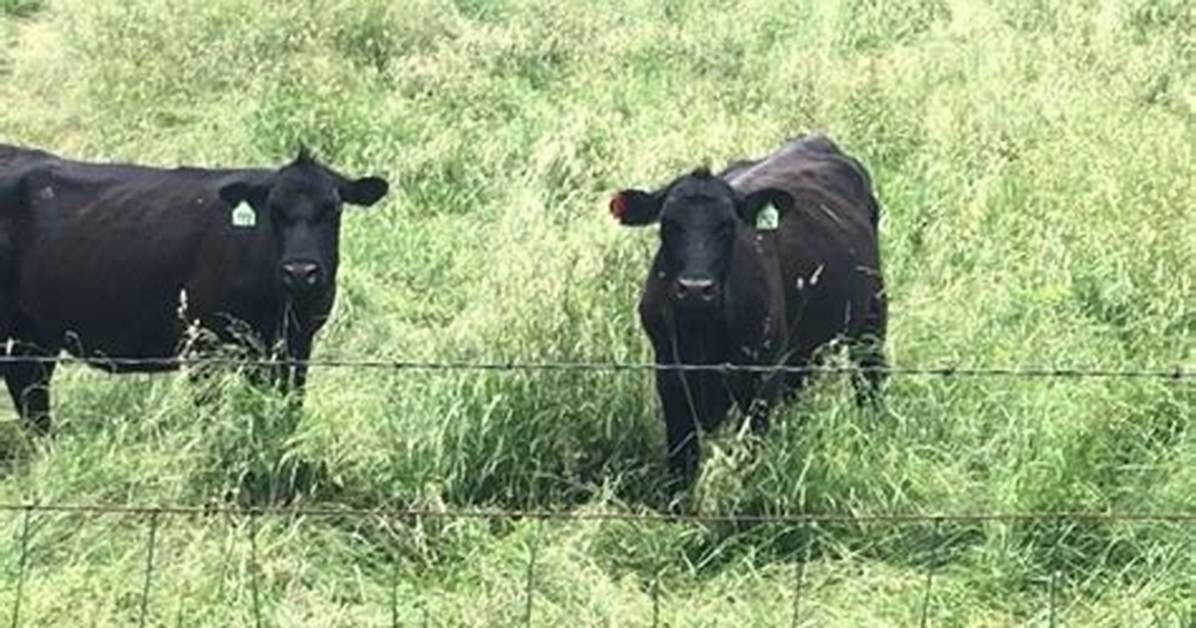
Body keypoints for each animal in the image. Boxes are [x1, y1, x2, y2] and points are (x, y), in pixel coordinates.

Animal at [0, 144, 388, 433]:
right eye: (274, 210)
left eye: (334, 209)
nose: (300, 271)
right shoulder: (203, 343)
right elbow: (210, 413)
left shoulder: (295, 343)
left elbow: (288, 406)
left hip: (33, 336)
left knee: (30, 392)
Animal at [609, 134, 887, 487]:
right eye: (667, 224)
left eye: (728, 225)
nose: (695, 288)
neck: (703, 332)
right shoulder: (670, 376)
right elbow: (681, 461)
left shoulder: (762, 378)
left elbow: (748, 454)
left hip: (872, 318)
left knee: (870, 379)